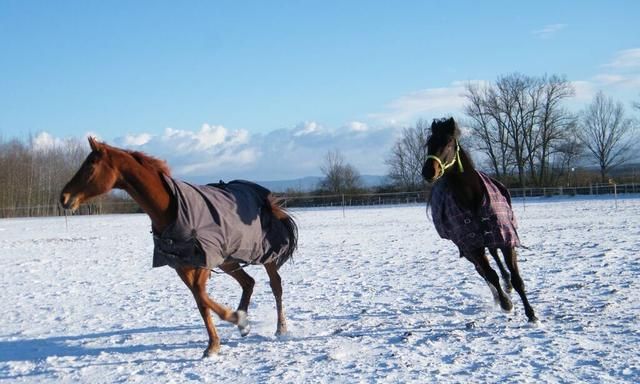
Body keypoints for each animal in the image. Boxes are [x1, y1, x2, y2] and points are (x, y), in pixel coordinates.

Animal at [59, 136, 298, 356]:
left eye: (91, 164)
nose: (64, 197)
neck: (171, 209)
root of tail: (268, 202)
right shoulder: (182, 265)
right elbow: (200, 300)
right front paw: (218, 340)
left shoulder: (203, 260)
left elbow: (201, 295)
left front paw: (233, 320)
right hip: (228, 260)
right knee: (248, 282)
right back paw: (244, 325)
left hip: (265, 255)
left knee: (275, 285)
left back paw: (280, 328)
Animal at [422, 118, 536, 322]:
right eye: (429, 143)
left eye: (449, 143)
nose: (428, 171)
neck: (472, 198)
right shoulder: (471, 245)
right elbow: (490, 275)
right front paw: (506, 303)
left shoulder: (505, 237)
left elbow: (516, 278)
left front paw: (531, 314)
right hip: (468, 248)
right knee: (482, 270)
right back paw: (499, 295)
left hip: (491, 237)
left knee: (495, 256)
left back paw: (506, 285)